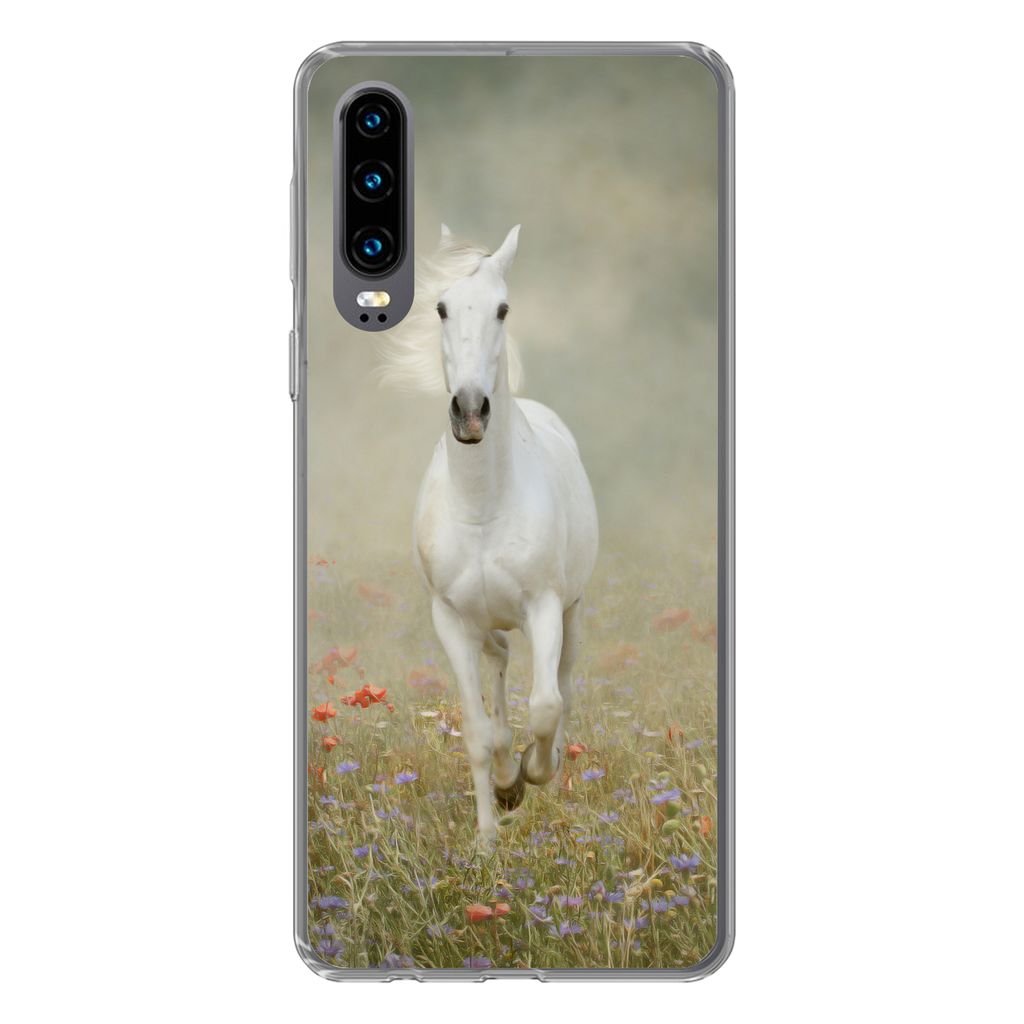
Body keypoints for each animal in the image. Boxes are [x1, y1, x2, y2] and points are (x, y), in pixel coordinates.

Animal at [379, 224, 599, 847]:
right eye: (440, 307)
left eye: (503, 308)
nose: (472, 410)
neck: (483, 509)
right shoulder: (450, 620)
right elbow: (477, 734)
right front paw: (488, 830)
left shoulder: (545, 606)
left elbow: (547, 705)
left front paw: (531, 774)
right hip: (482, 620)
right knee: (498, 660)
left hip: (571, 612)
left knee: (563, 684)